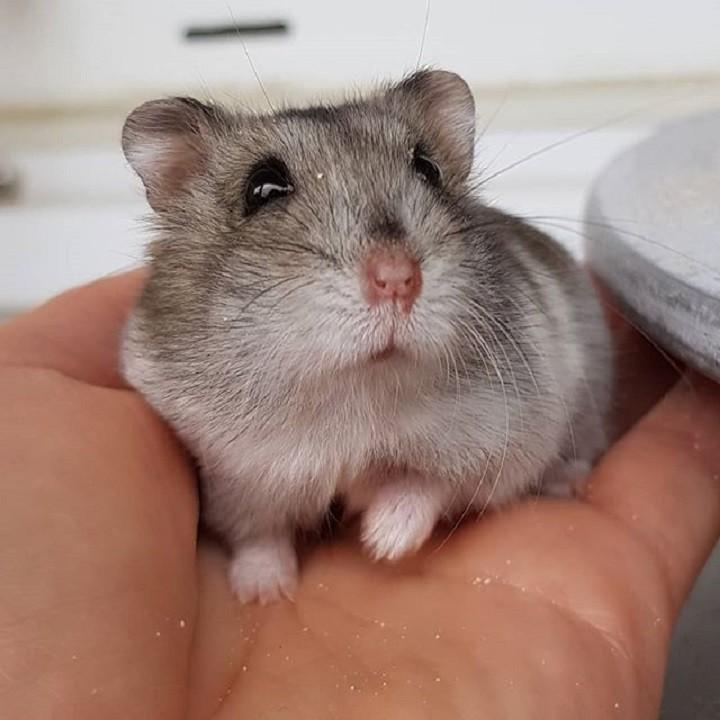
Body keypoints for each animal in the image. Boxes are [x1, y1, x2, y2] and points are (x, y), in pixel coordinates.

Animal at [120, 70, 612, 604]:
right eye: (263, 188)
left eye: (426, 167)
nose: (398, 279)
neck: (355, 387)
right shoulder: (235, 477)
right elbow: (258, 534)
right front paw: (263, 593)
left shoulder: (505, 440)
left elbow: (428, 482)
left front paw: (382, 541)